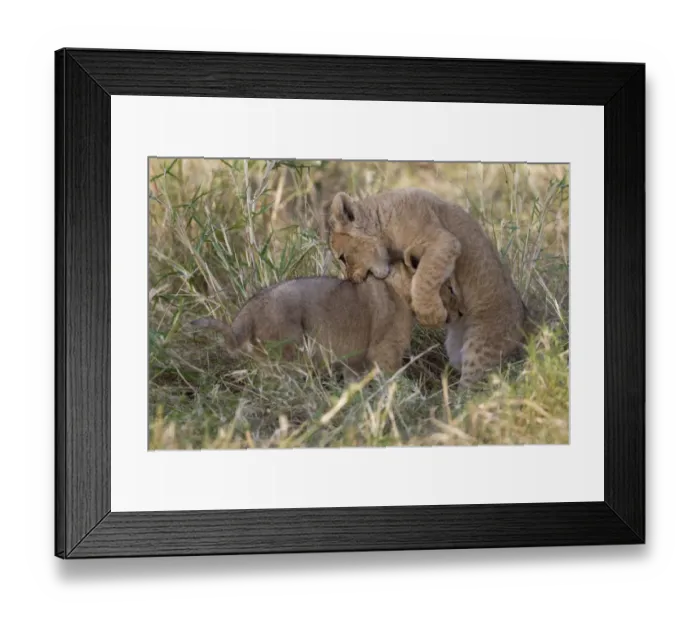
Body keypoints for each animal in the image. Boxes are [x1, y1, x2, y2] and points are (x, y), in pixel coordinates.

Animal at [191, 260, 458, 380]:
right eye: (449, 287)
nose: (459, 313)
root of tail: (247, 311)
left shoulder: (356, 361)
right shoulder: (385, 352)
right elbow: (392, 381)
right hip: (290, 353)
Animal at [326, 187, 528, 388]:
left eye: (342, 258)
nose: (350, 280)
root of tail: (524, 327)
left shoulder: (443, 242)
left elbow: (425, 276)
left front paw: (430, 315)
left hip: (481, 343)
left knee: (476, 383)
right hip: (455, 349)